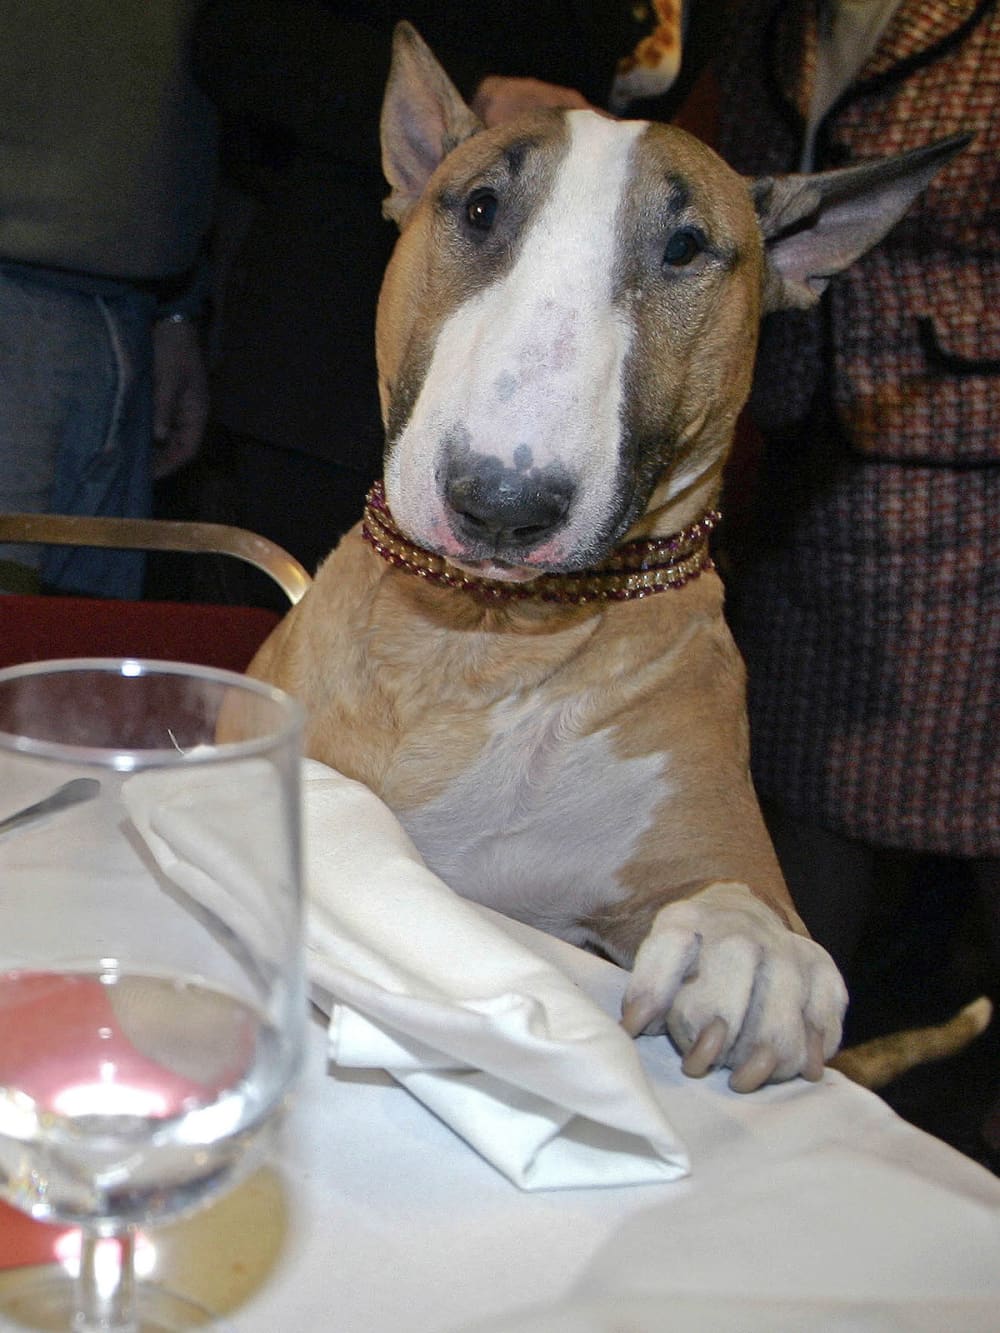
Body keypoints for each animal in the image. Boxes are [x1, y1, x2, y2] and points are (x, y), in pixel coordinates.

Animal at [246, 20, 965, 1087]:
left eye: (685, 246)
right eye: (480, 206)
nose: (501, 504)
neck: (485, 638)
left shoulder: (693, 826)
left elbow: (741, 890)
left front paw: (751, 949)